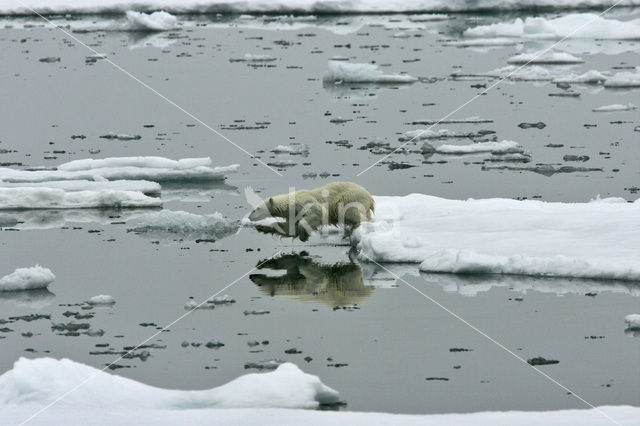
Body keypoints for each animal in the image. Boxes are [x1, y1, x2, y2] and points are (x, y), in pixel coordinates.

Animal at [246, 181, 376, 241]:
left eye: (257, 209)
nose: (249, 217)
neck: (292, 203)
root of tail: (370, 197)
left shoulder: (305, 203)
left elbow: (317, 213)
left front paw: (304, 235)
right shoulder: (293, 215)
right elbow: (288, 228)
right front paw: (262, 227)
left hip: (350, 198)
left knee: (347, 210)